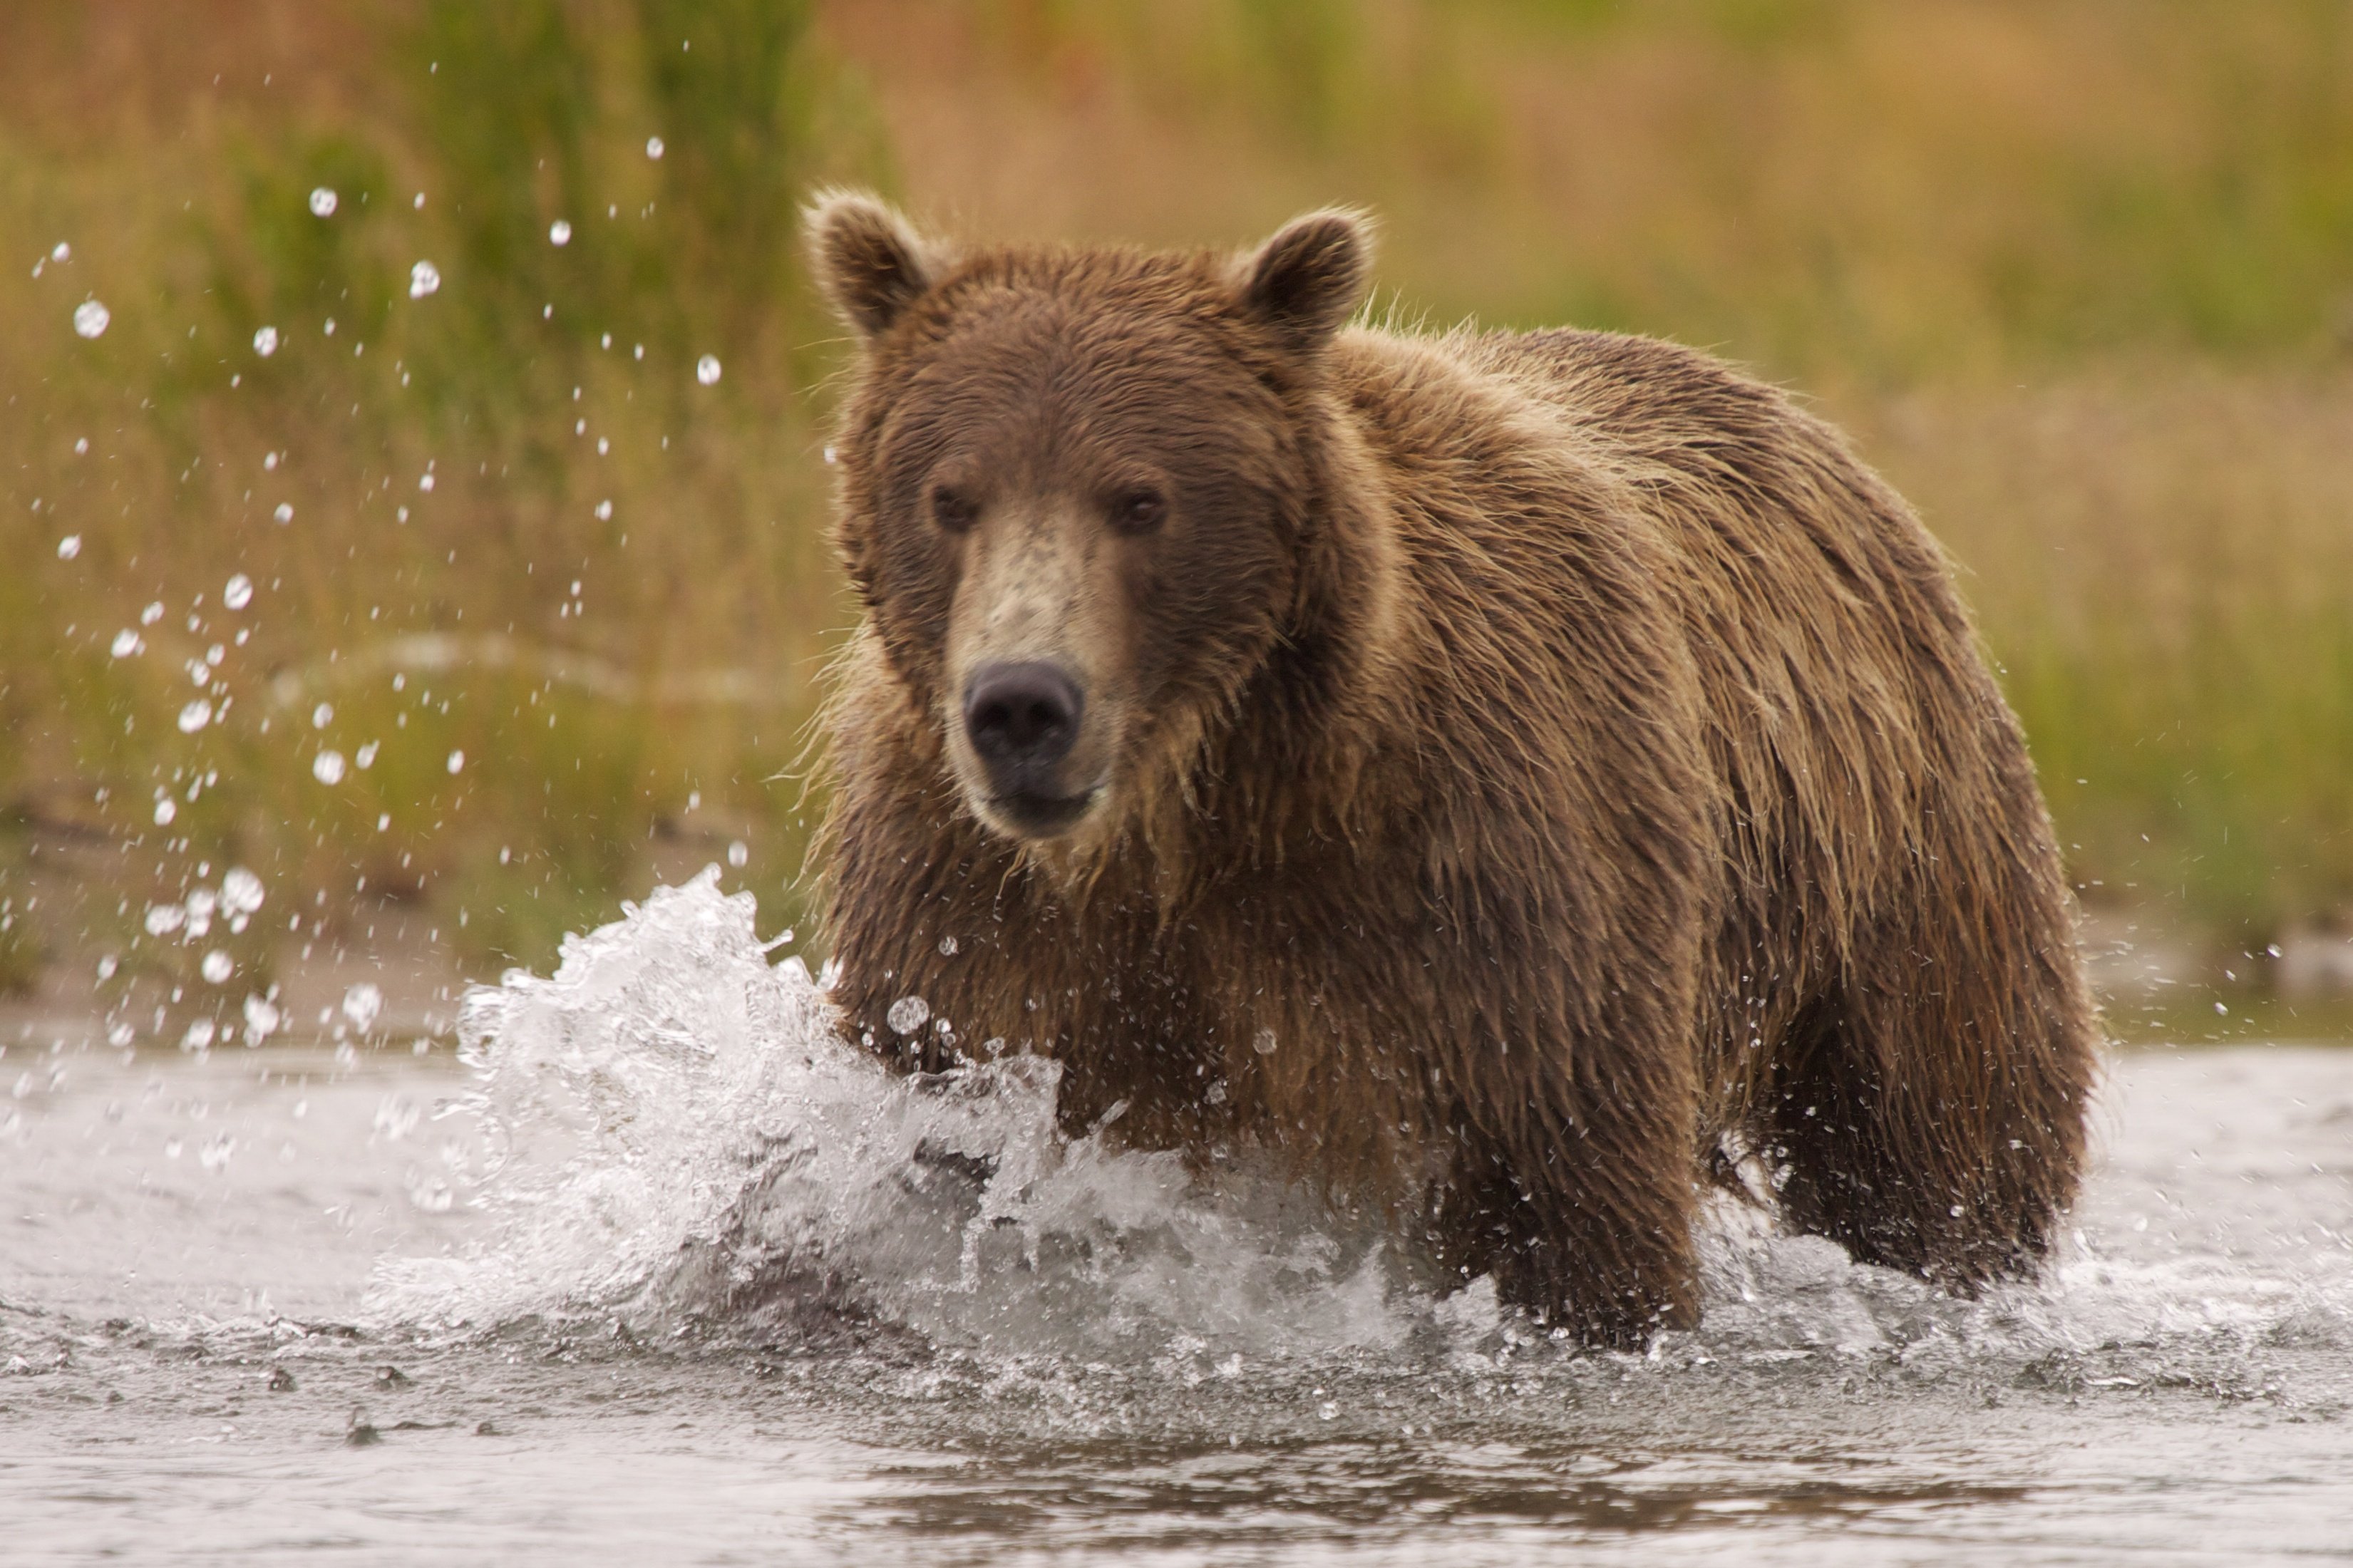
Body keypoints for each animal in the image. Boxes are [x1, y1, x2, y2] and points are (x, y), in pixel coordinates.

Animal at [803, 191, 2098, 1348]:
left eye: (1140, 499)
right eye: (950, 496)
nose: (1021, 704)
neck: (1194, 816)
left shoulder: (1495, 882)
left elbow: (1574, 1198)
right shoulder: (969, 926)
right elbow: (939, 1144)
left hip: (1901, 869)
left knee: (1939, 1139)